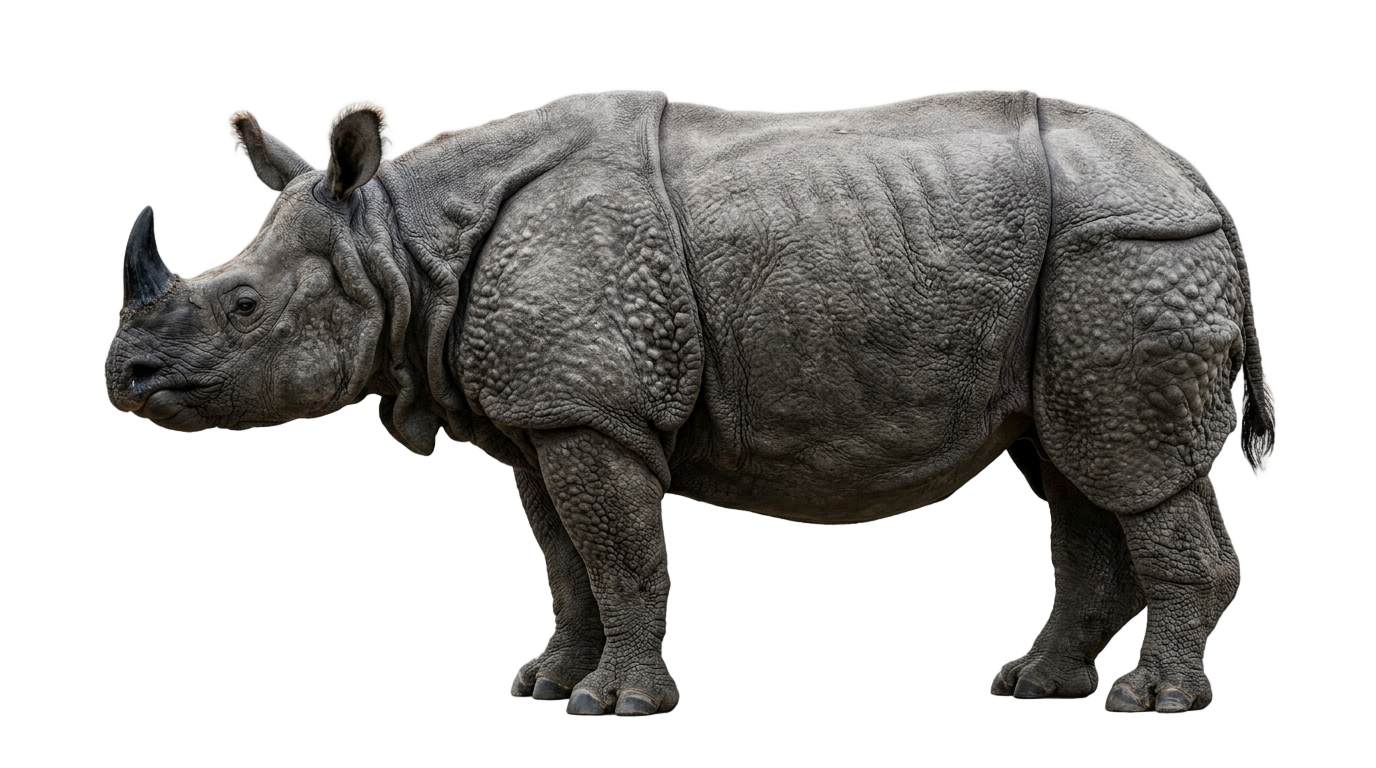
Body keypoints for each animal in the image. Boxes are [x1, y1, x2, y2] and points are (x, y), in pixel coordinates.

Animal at [104, 91, 1272, 716]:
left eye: (243, 306)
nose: (125, 380)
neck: (397, 242)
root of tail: (1196, 181)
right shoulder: (544, 416)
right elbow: (562, 562)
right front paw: (543, 687)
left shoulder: (589, 411)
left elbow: (619, 557)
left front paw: (612, 707)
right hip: (1098, 261)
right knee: (1082, 465)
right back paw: (1038, 687)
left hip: (1125, 251)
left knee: (1127, 465)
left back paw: (1153, 704)